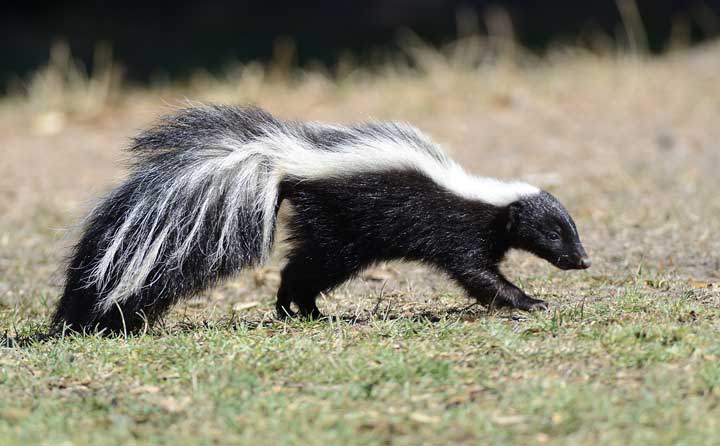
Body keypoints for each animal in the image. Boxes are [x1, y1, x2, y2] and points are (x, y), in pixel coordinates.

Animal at [52, 105, 592, 332]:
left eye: (571, 230)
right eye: (554, 232)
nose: (583, 260)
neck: (484, 197)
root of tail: (286, 160)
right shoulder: (457, 230)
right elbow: (477, 273)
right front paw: (530, 301)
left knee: (303, 267)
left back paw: (303, 310)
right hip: (342, 229)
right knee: (305, 268)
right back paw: (295, 309)